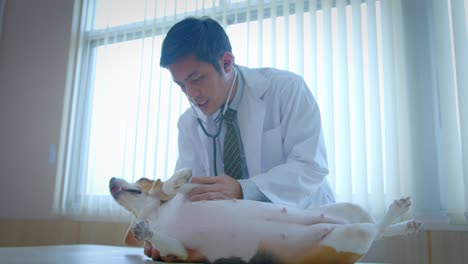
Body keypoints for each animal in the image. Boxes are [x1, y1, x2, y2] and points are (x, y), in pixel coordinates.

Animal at [109, 169, 420, 264]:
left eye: (140, 179)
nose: (110, 180)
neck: (156, 214)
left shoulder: (197, 190)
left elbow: (172, 186)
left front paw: (177, 177)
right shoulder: (182, 251)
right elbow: (163, 240)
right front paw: (144, 232)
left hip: (349, 214)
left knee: (375, 227)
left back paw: (399, 214)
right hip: (349, 234)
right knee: (374, 229)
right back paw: (402, 219)